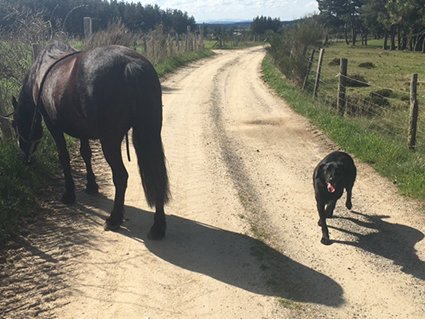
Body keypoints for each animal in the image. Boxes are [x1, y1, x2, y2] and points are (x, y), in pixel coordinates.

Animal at [11, 41, 169, 239]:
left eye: (14, 126)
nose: (24, 158)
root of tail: (130, 64)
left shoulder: (52, 125)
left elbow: (64, 156)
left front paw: (69, 193)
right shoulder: (82, 129)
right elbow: (86, 153)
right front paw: (92, 185)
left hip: (110, 142)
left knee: (121, 176)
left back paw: (114, 218)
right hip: (151, 133)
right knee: (157, 175)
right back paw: (158, 225)